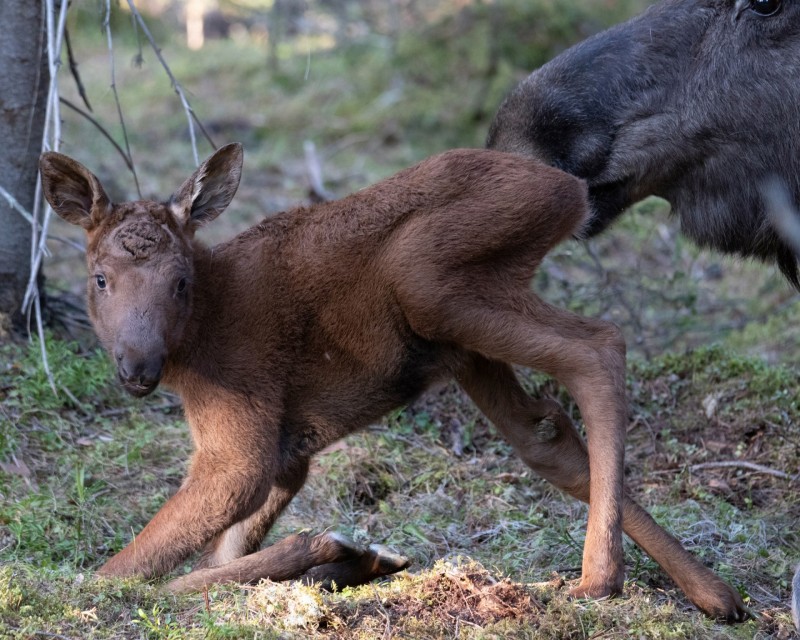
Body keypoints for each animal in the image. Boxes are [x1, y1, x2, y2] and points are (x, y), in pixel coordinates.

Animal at [40, 146, 744, 620]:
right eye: (100, 278)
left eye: (179, 282)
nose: (137, 367)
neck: (197, 341)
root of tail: (573, 187)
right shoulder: (289, 453)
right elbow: (215, 559)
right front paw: (345, 561)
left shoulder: (244, 440)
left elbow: (112, 577)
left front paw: (331, 551)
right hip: (461, 342)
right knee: (549, 439)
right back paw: (716, 593)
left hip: (428, 280)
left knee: (598, 348)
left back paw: (600, 578)